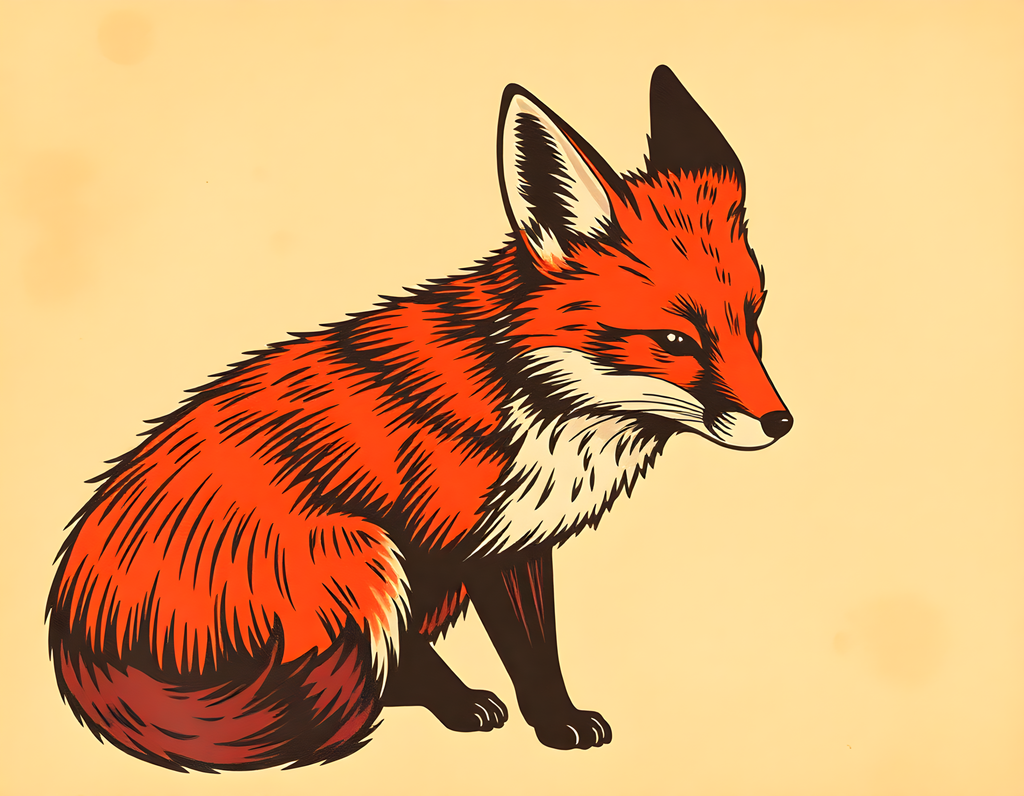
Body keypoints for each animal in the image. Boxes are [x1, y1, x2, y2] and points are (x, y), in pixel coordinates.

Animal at [46, 65, 792, 772]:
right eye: (675, 341)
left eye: (753, 324)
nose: (779, 423)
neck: (534, 396)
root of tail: (71, 627)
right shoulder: (442, 539)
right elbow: (465, 652)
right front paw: (527, 720)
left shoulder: (513, 543)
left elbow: (535, 649)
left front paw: (552, 716)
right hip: (360, 552)